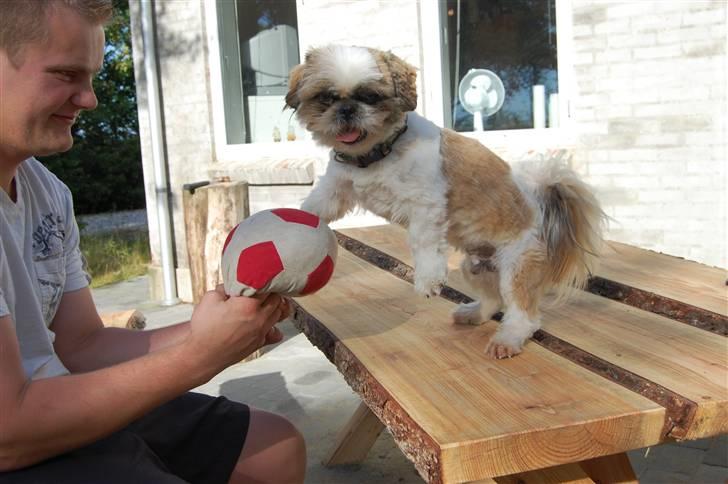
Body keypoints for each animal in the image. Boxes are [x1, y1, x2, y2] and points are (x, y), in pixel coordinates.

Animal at [288, 45, 604, 358]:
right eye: (326, 98)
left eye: (370, 96)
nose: (347, 110)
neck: (376, 154)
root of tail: (540, 208)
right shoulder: (337, 187)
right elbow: (317, 206)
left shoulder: (425, 205)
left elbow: (423, 243)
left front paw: (427, 279)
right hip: (474, 267)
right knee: (493, 300)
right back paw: (473, 313)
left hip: (517, 266)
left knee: (522, 312)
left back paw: (508, 339)